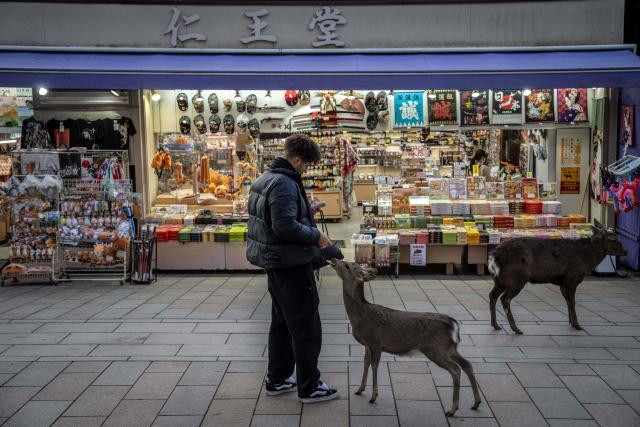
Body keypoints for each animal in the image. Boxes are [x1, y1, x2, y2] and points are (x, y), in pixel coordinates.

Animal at [329, 259, 481, 418]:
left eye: (347, 265)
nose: (333, 260)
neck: (360, 319)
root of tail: (452, 323)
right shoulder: (367, 345)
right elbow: (365, 363)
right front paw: (359, 389)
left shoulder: (376, 342)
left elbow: (374, 365)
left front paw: (373, 396)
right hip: (450, 348)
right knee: (467, 364)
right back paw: (475, 403)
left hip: (436, 349)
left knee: (456, 369)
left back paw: (452, 409)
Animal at [488, 221, 627, 334]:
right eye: (613, 240)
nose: (625, 251)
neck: (587, 258)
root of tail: (495, 255)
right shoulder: (571, 278)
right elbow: (572, 302)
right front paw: (577, 325)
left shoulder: (563, 282)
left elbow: (567, 301)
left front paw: (571, 323)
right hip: (517, 277)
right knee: (505, 298)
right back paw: (515, 329)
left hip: (499, 279)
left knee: (492, 296)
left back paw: (496, 325)